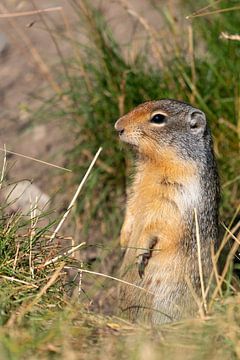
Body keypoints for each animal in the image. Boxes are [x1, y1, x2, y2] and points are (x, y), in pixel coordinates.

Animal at [114, 99, 219, 326]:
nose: (118, 126)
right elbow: (132, 209)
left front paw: (140, 253)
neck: (154, 163)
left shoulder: (175, 197)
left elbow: (155, 224)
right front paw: (124, 239)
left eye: (158, 118)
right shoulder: (136, 187)